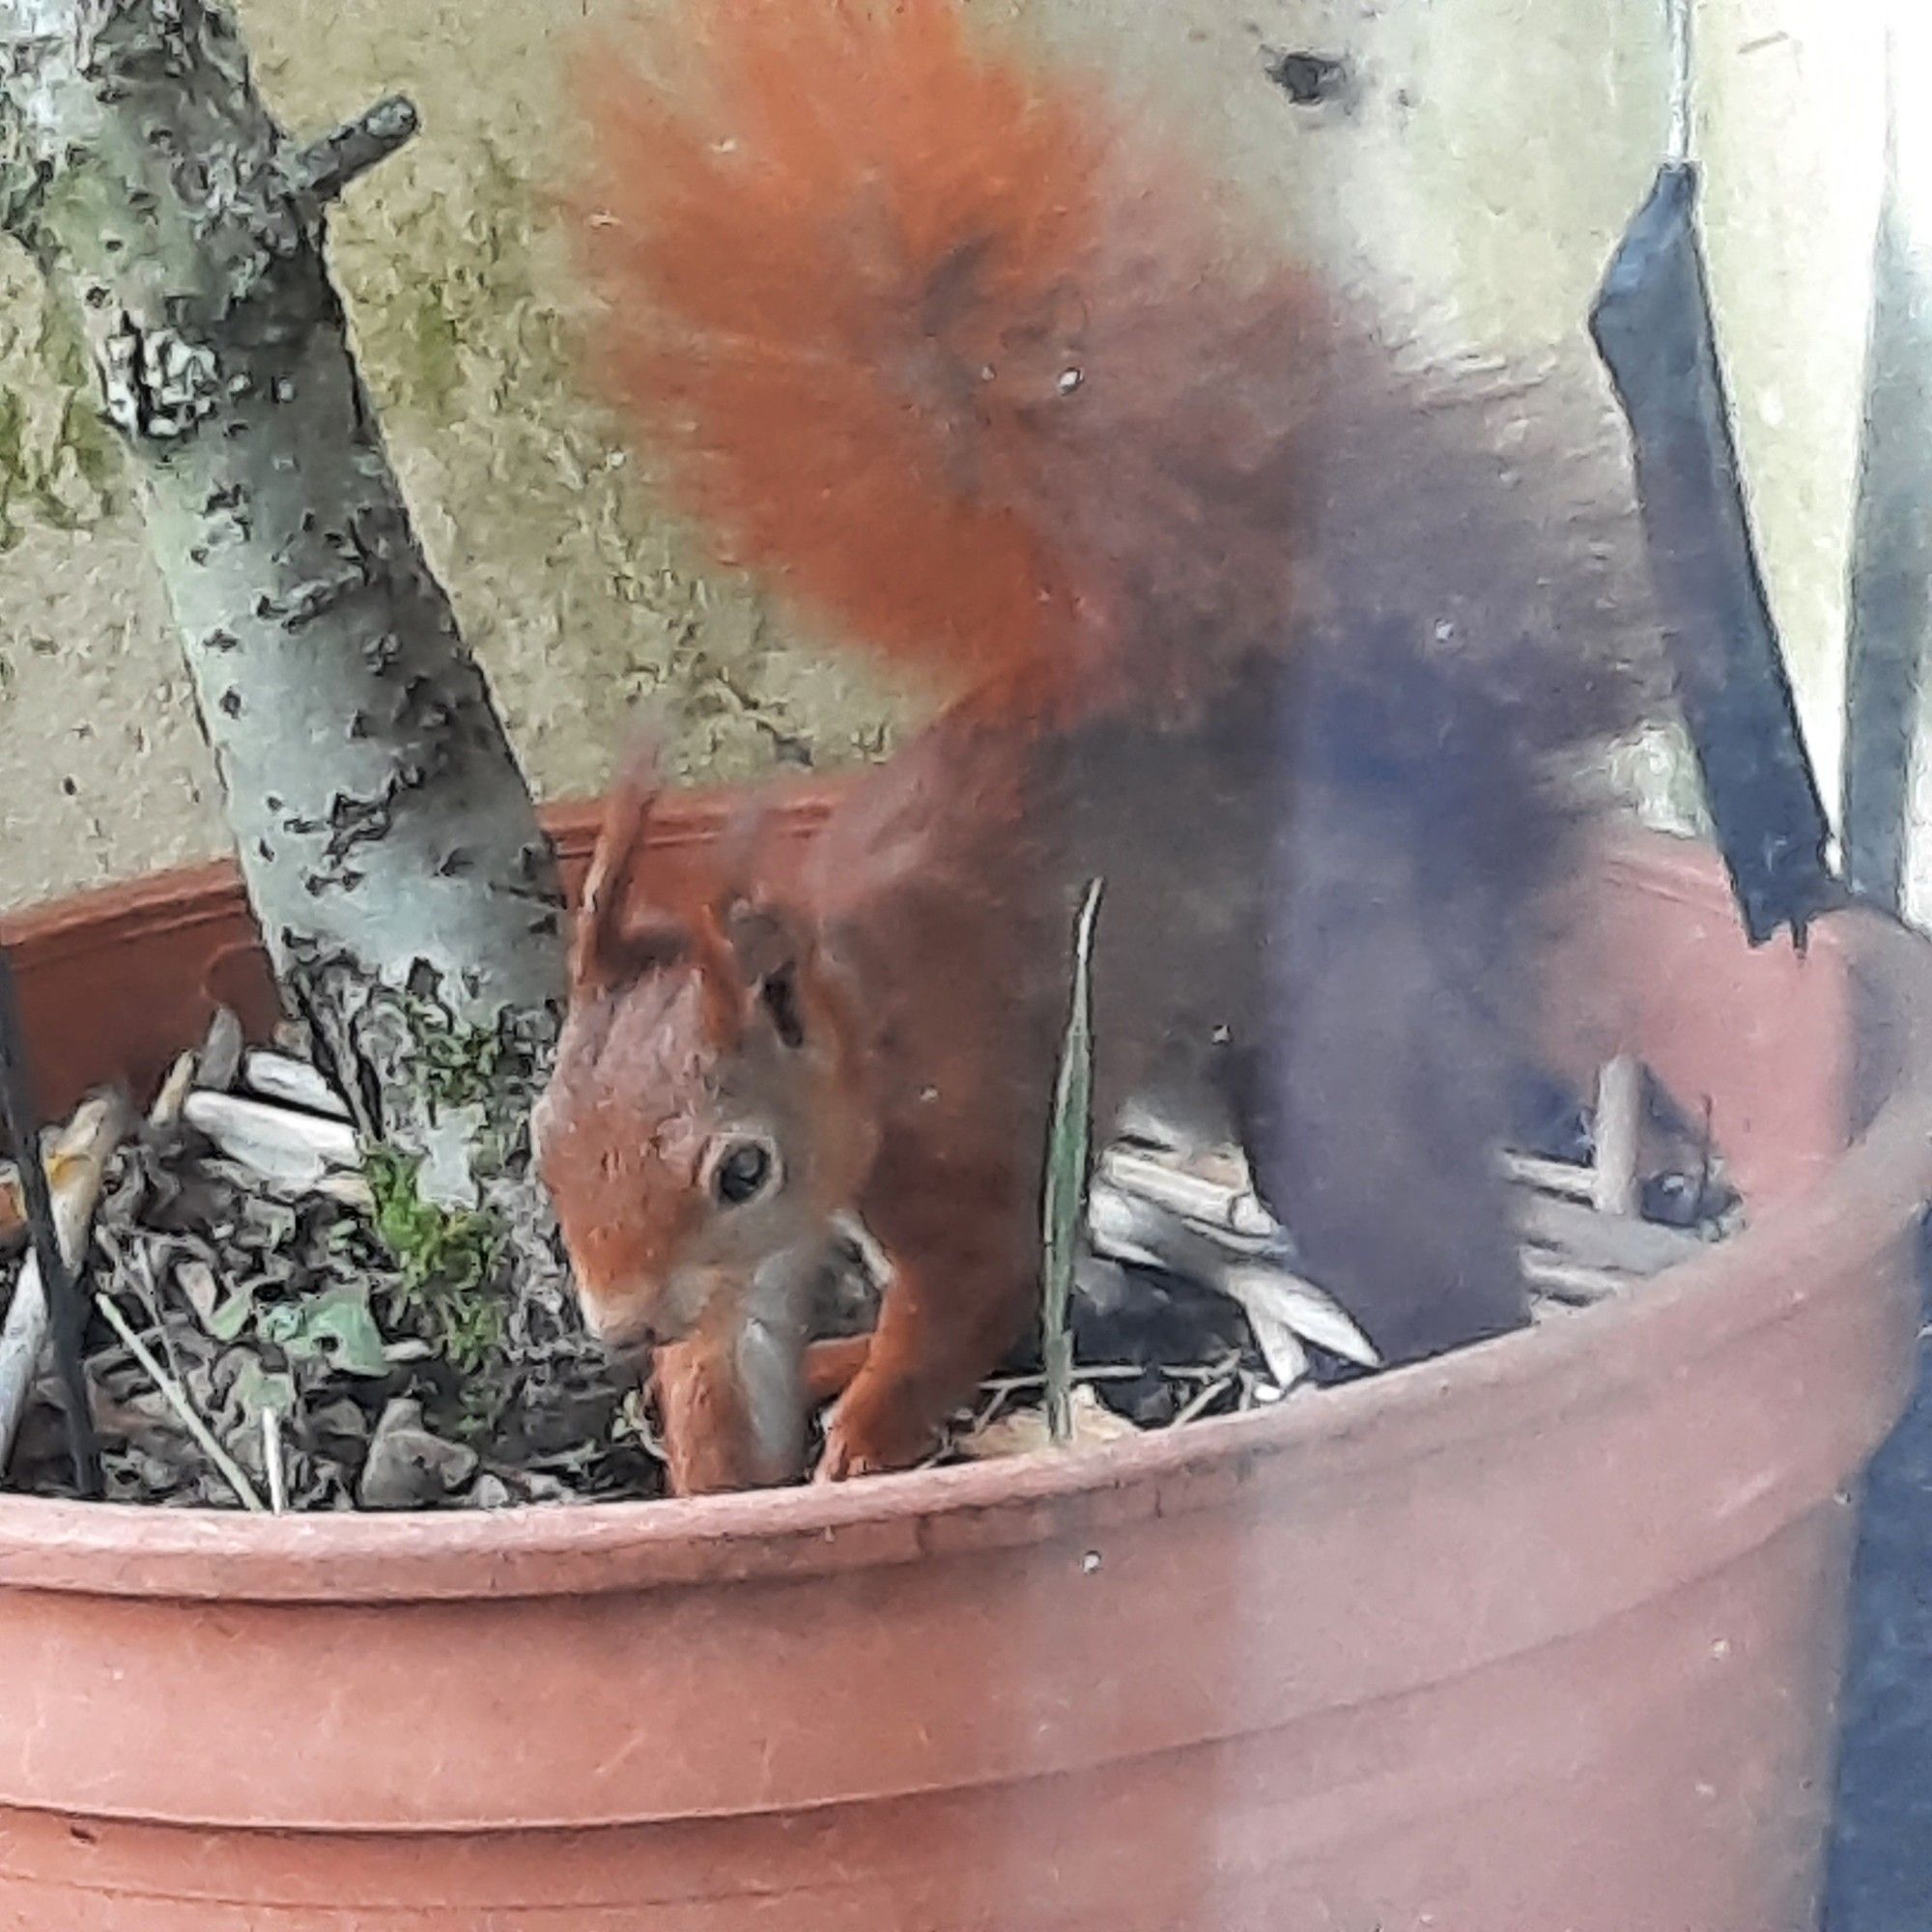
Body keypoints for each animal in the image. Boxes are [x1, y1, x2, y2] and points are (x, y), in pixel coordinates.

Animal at [537, 0, 1669, 1492]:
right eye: (544, 1144)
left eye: (739, 1170)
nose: (616, 1324)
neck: (859, 1022)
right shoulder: (745, 1275)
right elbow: (731, 1365)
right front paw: (720, 1482)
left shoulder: (964, 1143)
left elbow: (978, 1284)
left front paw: (868, 1441)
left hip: (1341, 1014)